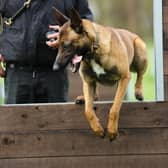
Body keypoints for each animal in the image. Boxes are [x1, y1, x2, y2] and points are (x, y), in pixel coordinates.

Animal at [52, 7, 147, 140]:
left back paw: (138, 92)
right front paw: (97, 129)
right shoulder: (88, 82)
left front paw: (112, 130)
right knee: (95, 95)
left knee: (140, 75)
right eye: (56, 46)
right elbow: (88, 111)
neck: (94, 49)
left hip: (140, 52)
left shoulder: (124, 77)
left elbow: (114, 108)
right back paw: (83, 98)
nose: (54, 68)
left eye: (66, 45)